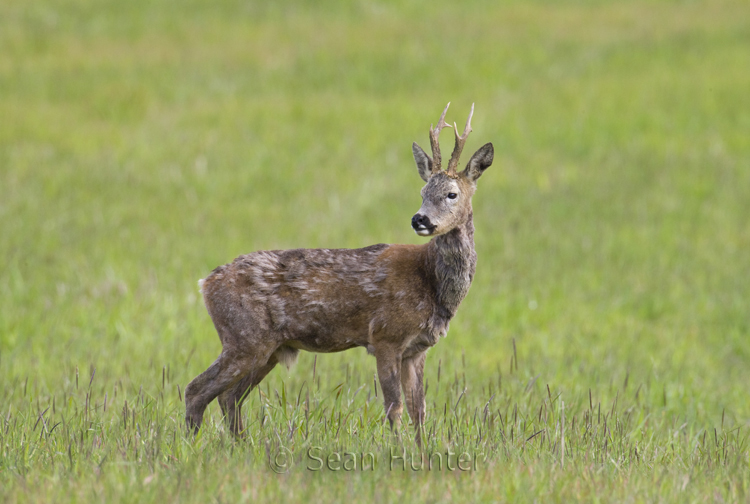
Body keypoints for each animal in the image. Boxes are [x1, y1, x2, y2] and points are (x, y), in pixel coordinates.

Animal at [186, 103, 496, 444]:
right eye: (423, 191)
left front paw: (422, 450)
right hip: (243, 336)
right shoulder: (385, 335)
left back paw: (239, 445)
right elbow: (395, 407)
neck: (430, 281)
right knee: (197, 389)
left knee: (229, 397)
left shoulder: (417, 349)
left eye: (452, 194)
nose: (420, 220)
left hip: (268, 348)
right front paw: (397, 449)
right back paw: (192, 446)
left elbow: (420, 411)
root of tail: (206, 283)